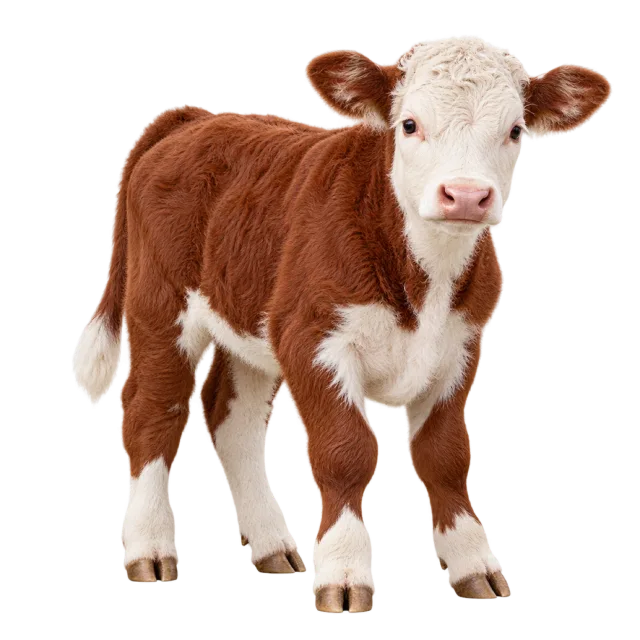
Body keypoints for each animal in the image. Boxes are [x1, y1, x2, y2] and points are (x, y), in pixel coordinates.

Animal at [72, 34, 612, 608]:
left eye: (514, 130)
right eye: (409, 124)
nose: (466, 195)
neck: (423, 279)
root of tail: (200, 115)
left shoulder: (461, 347)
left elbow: (445, 456)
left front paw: (474, 567)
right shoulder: (313, 338)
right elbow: (346, 451)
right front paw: (346, 576)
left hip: (249, 320)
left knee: (230, 415)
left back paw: (272, 547)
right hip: (160, 302)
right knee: (153, 407)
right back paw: (150, 552)